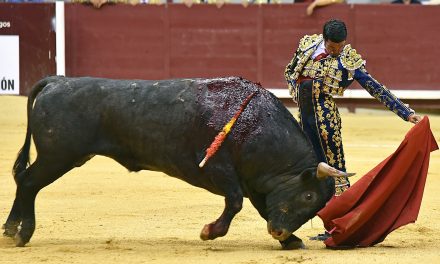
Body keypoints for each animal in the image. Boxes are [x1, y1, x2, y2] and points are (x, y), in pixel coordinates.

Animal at [1, 77, 348, 250]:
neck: (256, 127)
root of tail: (58, 81)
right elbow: (235, 202)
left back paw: (10, 228)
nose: (278, 232)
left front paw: (291, 241)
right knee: (29, 183)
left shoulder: (255, 183)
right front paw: (209, 232)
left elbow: (261, 206)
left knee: (23, 181)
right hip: (58, 156)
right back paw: (22, 233)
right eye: (307, 196)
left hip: (59, 157)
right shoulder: (217, 170)